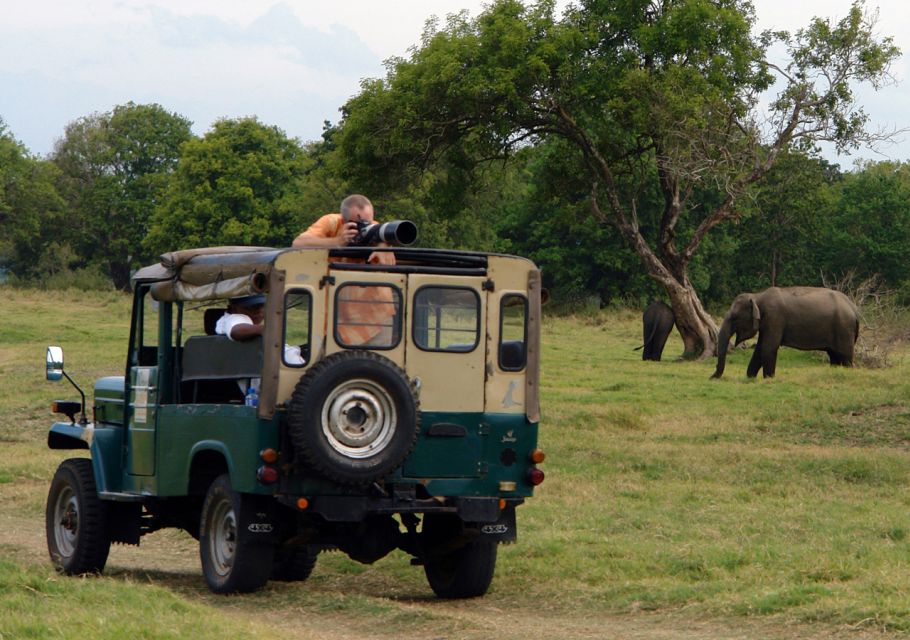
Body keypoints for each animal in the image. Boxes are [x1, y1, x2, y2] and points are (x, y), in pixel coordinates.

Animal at [712, 286, 864, 380]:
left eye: (734, 318)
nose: (711, 377)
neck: (757, 296)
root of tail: (854, 309)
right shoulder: (767, 323)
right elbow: (759, 348)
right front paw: (750, 378)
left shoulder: (775, 318)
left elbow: (768, 348)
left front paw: (768, 378)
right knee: (834, 356)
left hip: (844, 329)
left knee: (845, 357)